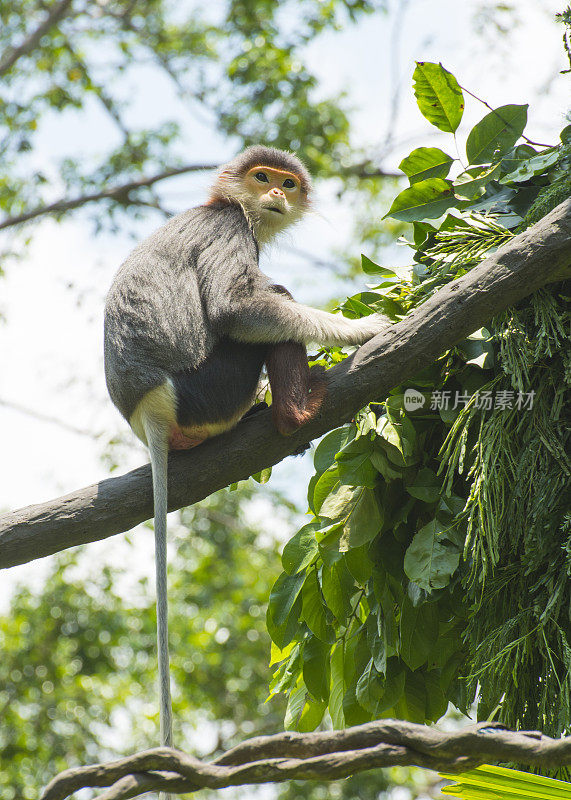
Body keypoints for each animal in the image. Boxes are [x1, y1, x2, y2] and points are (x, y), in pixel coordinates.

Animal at [101, 145, 388, 756]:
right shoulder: (230, 230)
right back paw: (295, 411)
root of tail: (148, 413)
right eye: (262, 179)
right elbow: (237, 308)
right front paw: (361, 329)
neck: (226, 206)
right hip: (208, 393)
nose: (276, 194)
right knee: (270, 302)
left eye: (287, 184)